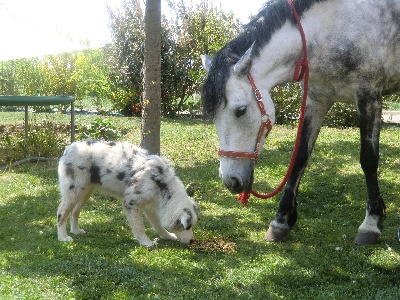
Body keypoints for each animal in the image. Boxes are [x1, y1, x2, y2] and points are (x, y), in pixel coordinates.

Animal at [56, 139, 200, 247]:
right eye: (187, 227)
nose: (192, 241)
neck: (161, 185)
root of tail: (69, 148)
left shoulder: (150, 206)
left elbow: (158, 226)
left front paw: (168, 236)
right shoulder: (131, 203)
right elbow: (139, 226)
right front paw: (146, 243)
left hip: (85, 192)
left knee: (74, 212)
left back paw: (76, 231)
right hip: (74, 190)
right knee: (61, 213)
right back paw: (63, 237)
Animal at [203, 0, 400, 244]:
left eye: (241, 110)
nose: (230, 181)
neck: (331, 28)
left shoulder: (368, 97)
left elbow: (369, 160)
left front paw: (371, 222)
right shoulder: (316, 100)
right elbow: (299, 158)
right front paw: (281, 220)